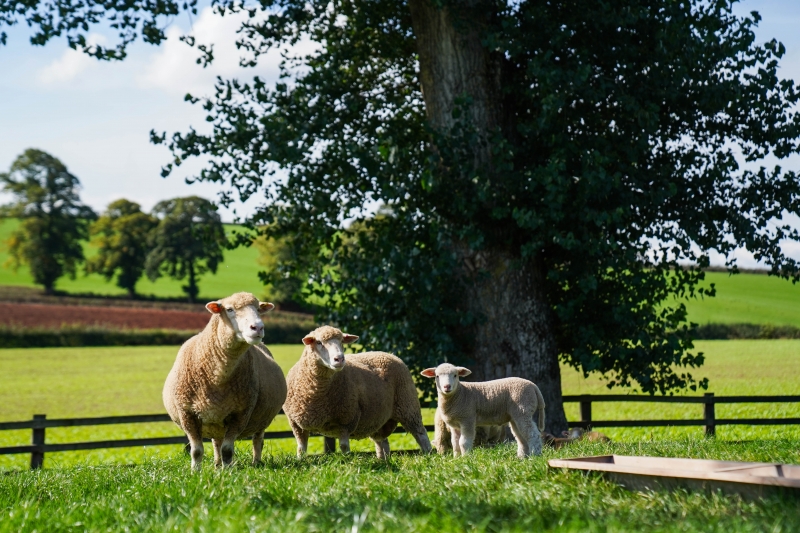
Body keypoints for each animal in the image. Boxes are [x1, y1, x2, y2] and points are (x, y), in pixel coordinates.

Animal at [163, 292, 287, 470]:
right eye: (229, 309)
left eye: (258, 309)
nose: (258, 328)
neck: (217, 375)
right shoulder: (187, 413)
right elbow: (196, 451)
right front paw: (196, 472)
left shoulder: (240, 413)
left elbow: (227, 450)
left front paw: (228, 472)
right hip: (216, 421)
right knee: (217, 443)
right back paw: (216, 465)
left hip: (261, 419)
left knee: (258, 441)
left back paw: (255, 463)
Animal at [283, 325, 432, 459]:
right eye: (319, 342)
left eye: (342, 341)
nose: (339, 359)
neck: (316, 392)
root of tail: (390, 354)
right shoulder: (296, 424)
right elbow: (301, 449)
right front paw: (301, 462)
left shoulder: (346, 420)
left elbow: (343, 447)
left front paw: (346, 462)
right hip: (377, 419)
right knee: (382, 443)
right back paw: (383, 462)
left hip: (409, 407)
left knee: (421, 434)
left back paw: (428, 455)